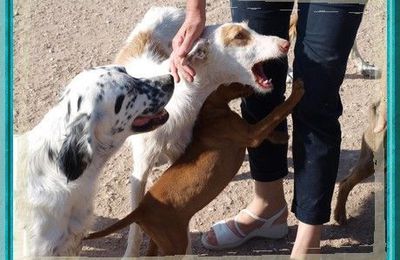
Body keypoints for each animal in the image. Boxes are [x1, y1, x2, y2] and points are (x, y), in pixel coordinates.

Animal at [83, 79, 304, 256]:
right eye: (239, 81)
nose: (253, 87)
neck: (211, 110)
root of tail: (141, 209)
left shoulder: (251, 133)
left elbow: (272, 129)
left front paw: (282, 136)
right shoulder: (251, 134)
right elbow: (276, 113)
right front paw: (298, 90)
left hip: (159, 238)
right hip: (174, 243)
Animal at [112, 6, 290, 256]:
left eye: (250, 28)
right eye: (239, 36)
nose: (286, 44)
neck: (180, 99)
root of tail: (165, 8)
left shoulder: (181, 155)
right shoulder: (140, 171)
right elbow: (136, 228)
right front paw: (130, 253)